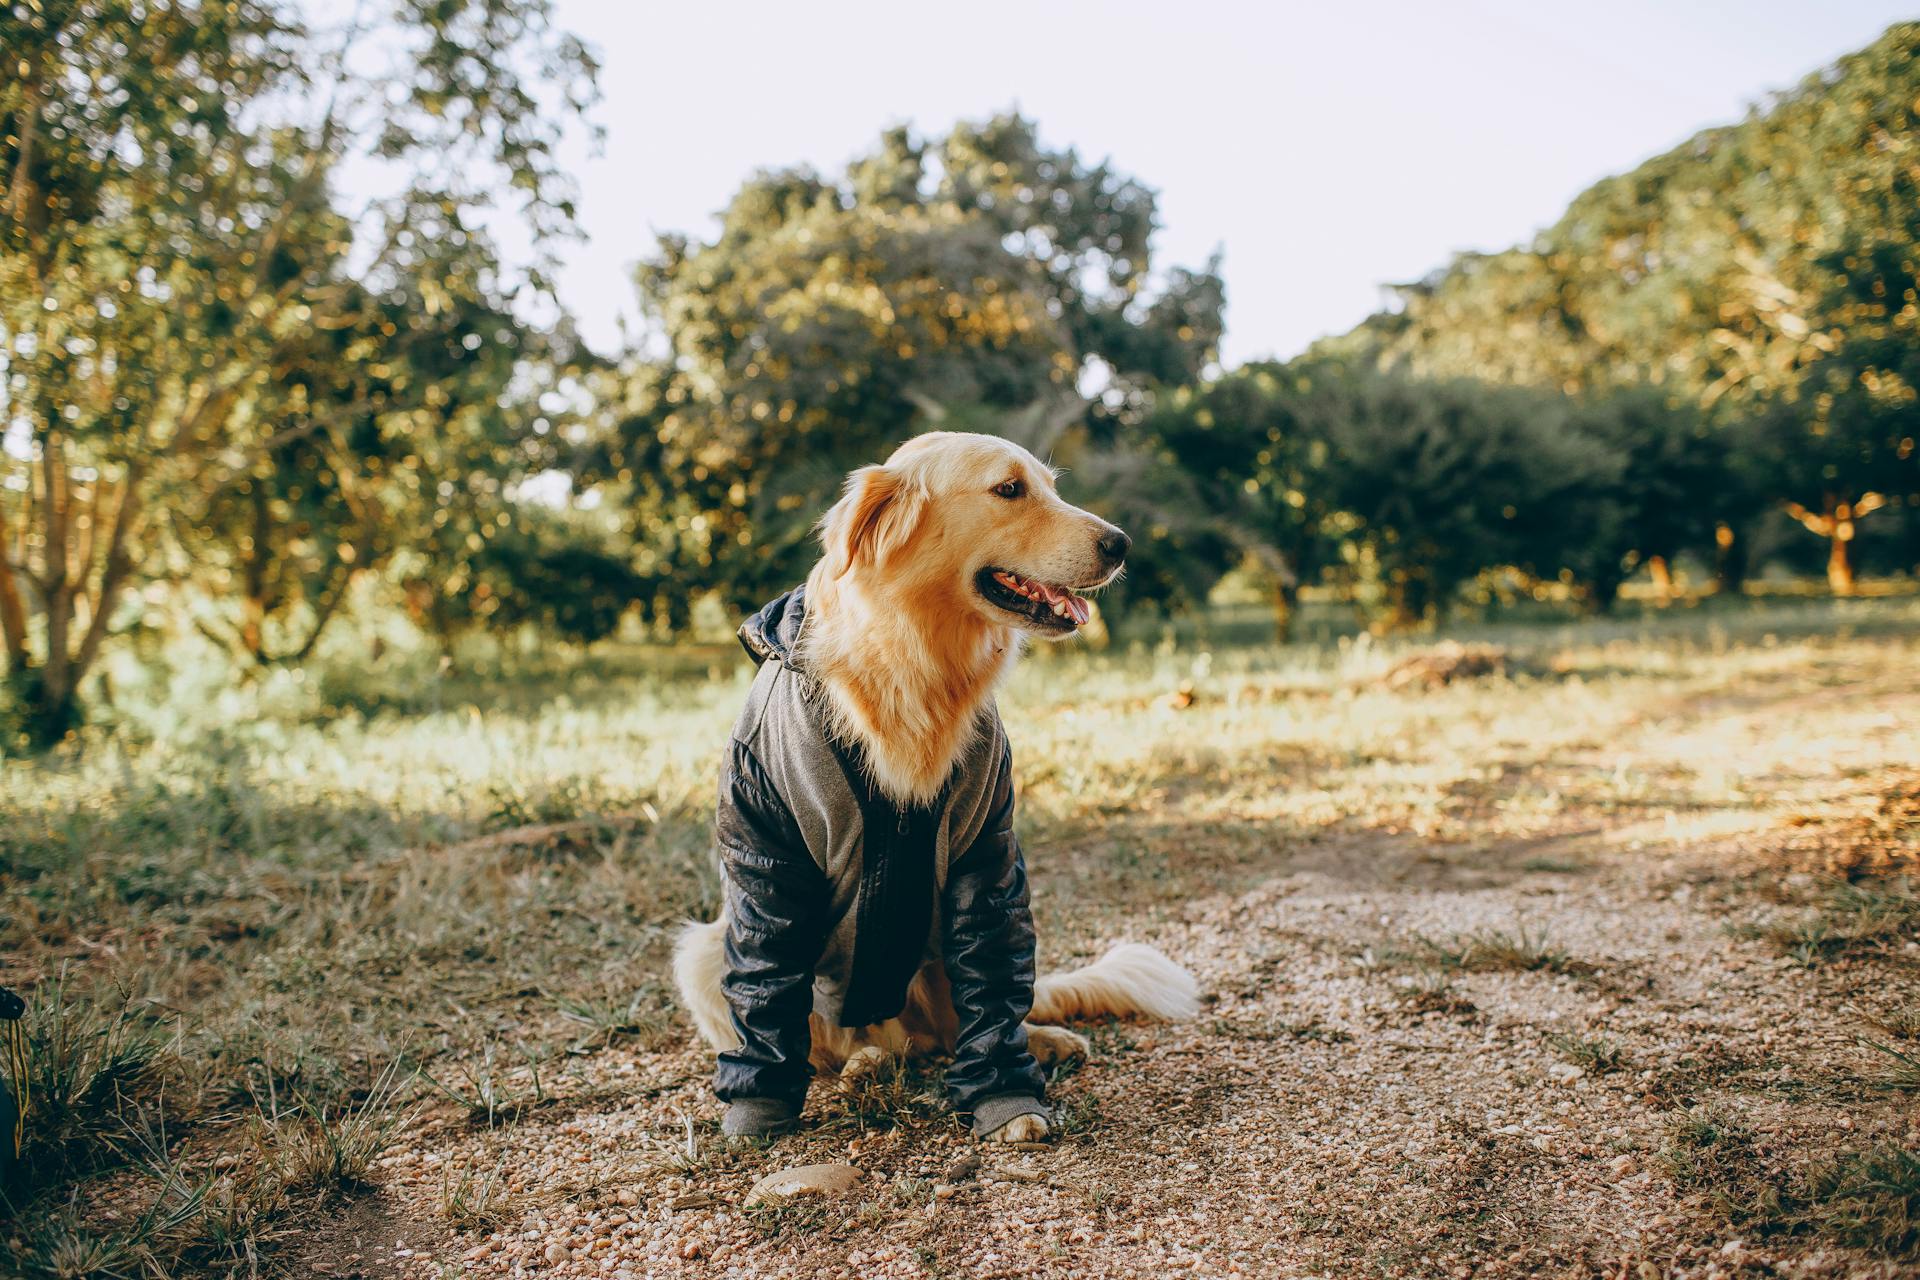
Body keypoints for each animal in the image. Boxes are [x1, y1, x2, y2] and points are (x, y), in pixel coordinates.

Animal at [668, 429, 1190, 1143]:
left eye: (1049, 485)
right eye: (1009, 489)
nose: (1121, 544)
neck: (917, 659)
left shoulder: (987, 847)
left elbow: (991, 990)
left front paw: (1007, 1098)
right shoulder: (766, 844)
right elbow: (768, 989)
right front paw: (758, 1103)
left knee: (949, 1031)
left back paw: (1035, 1040)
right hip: (701, 950)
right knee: (839, 1048)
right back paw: (861, 1066)